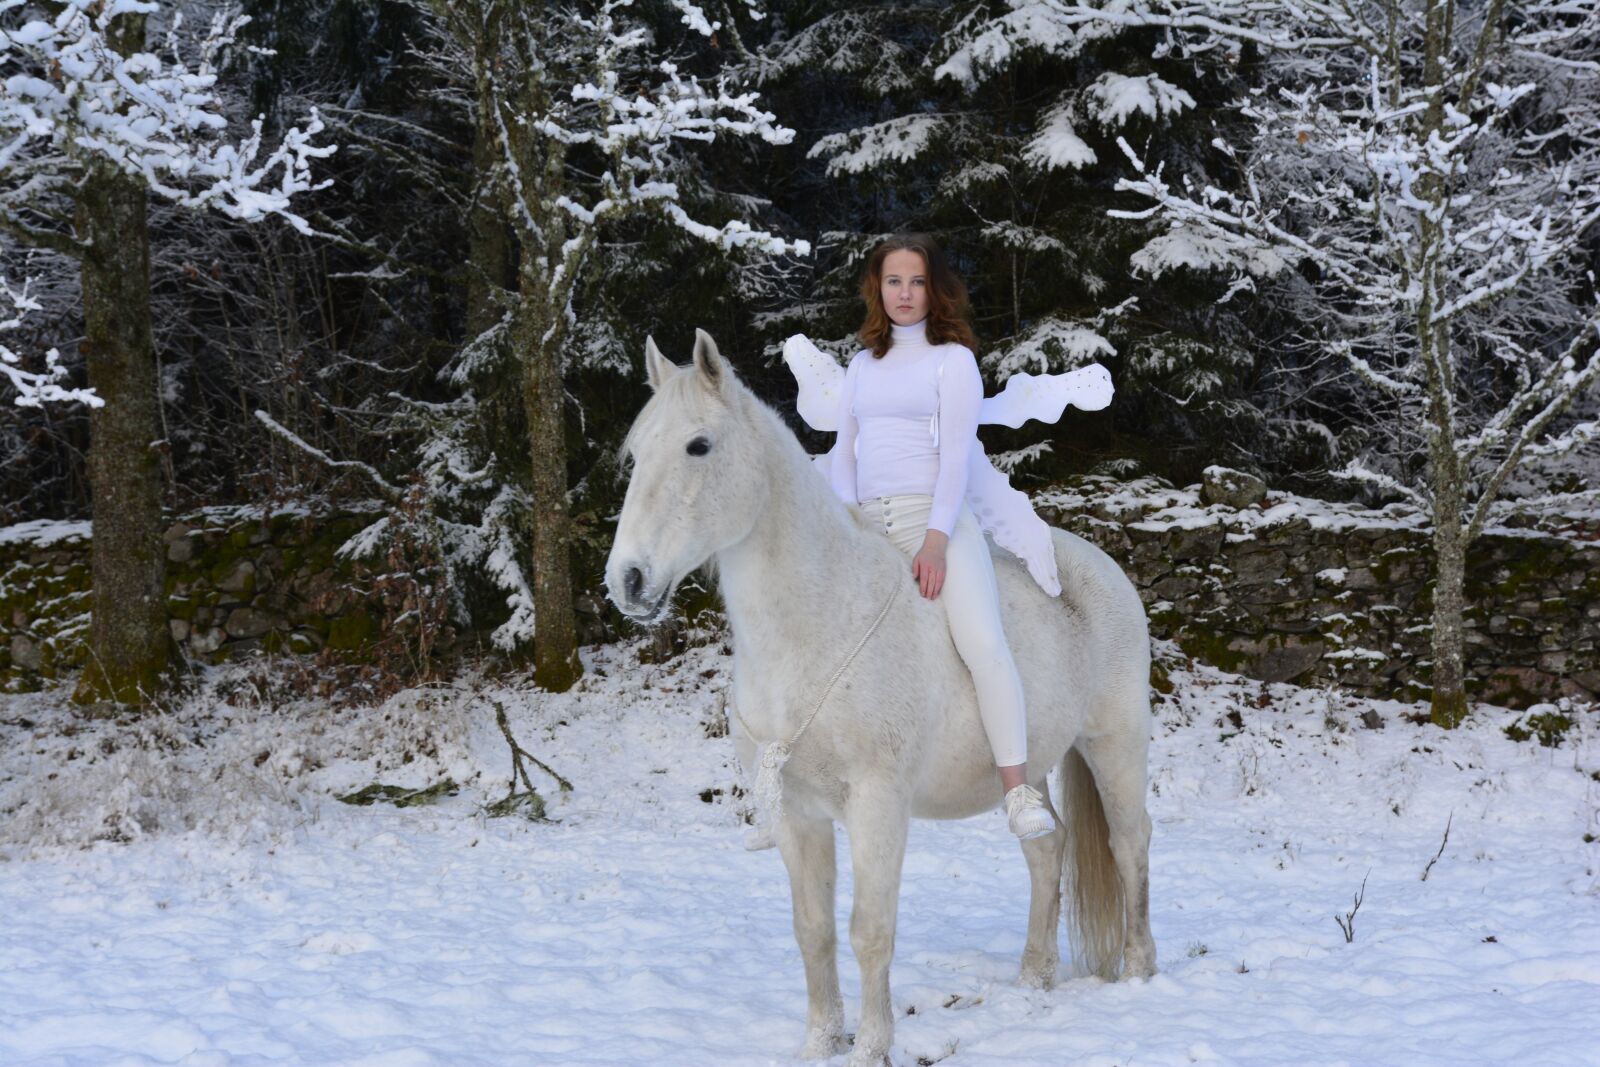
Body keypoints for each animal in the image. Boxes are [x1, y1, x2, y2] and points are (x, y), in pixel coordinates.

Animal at [604, 329, 1157, 1066]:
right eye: (636, 454)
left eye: (700, 445)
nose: (629, 581)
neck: (819, 624)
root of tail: (1100, 567)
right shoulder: (800, 815)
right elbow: (813, 929)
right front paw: (820, 1043)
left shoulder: (876, 805)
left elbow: (869, 929)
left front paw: (870, 1047)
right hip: (1031, 764)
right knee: (1049, 848)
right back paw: (1034, 977)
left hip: (1114, 745)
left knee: (1130, 845)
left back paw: (1140, 971)